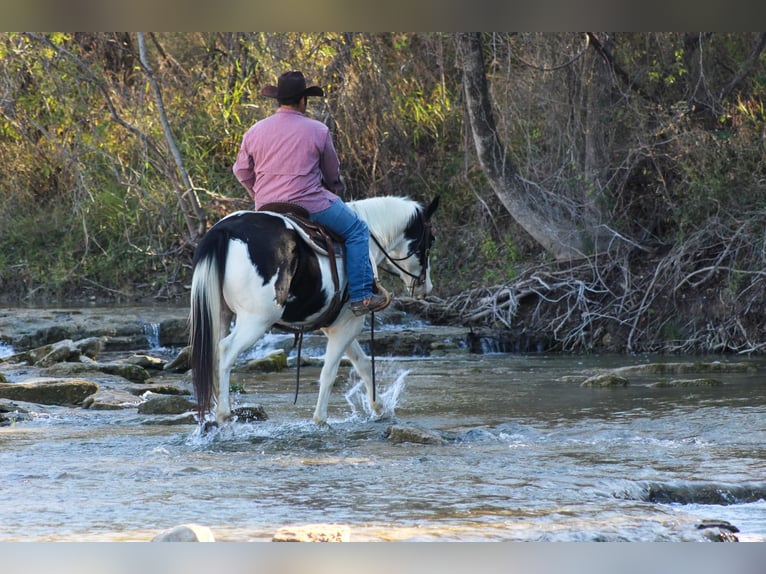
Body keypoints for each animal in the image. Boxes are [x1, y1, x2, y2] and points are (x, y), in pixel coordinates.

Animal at [189, 195, 439, 427]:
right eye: (431, 241)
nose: (426, 287)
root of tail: (224, 230)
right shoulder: (349, 324)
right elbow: (329, 372)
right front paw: (320, 420)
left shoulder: (338, 325)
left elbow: (363, 364)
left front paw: (379, 408)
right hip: (257, 320)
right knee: (226, 351)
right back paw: (223, 414)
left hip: (221, 315)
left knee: (213, 353)